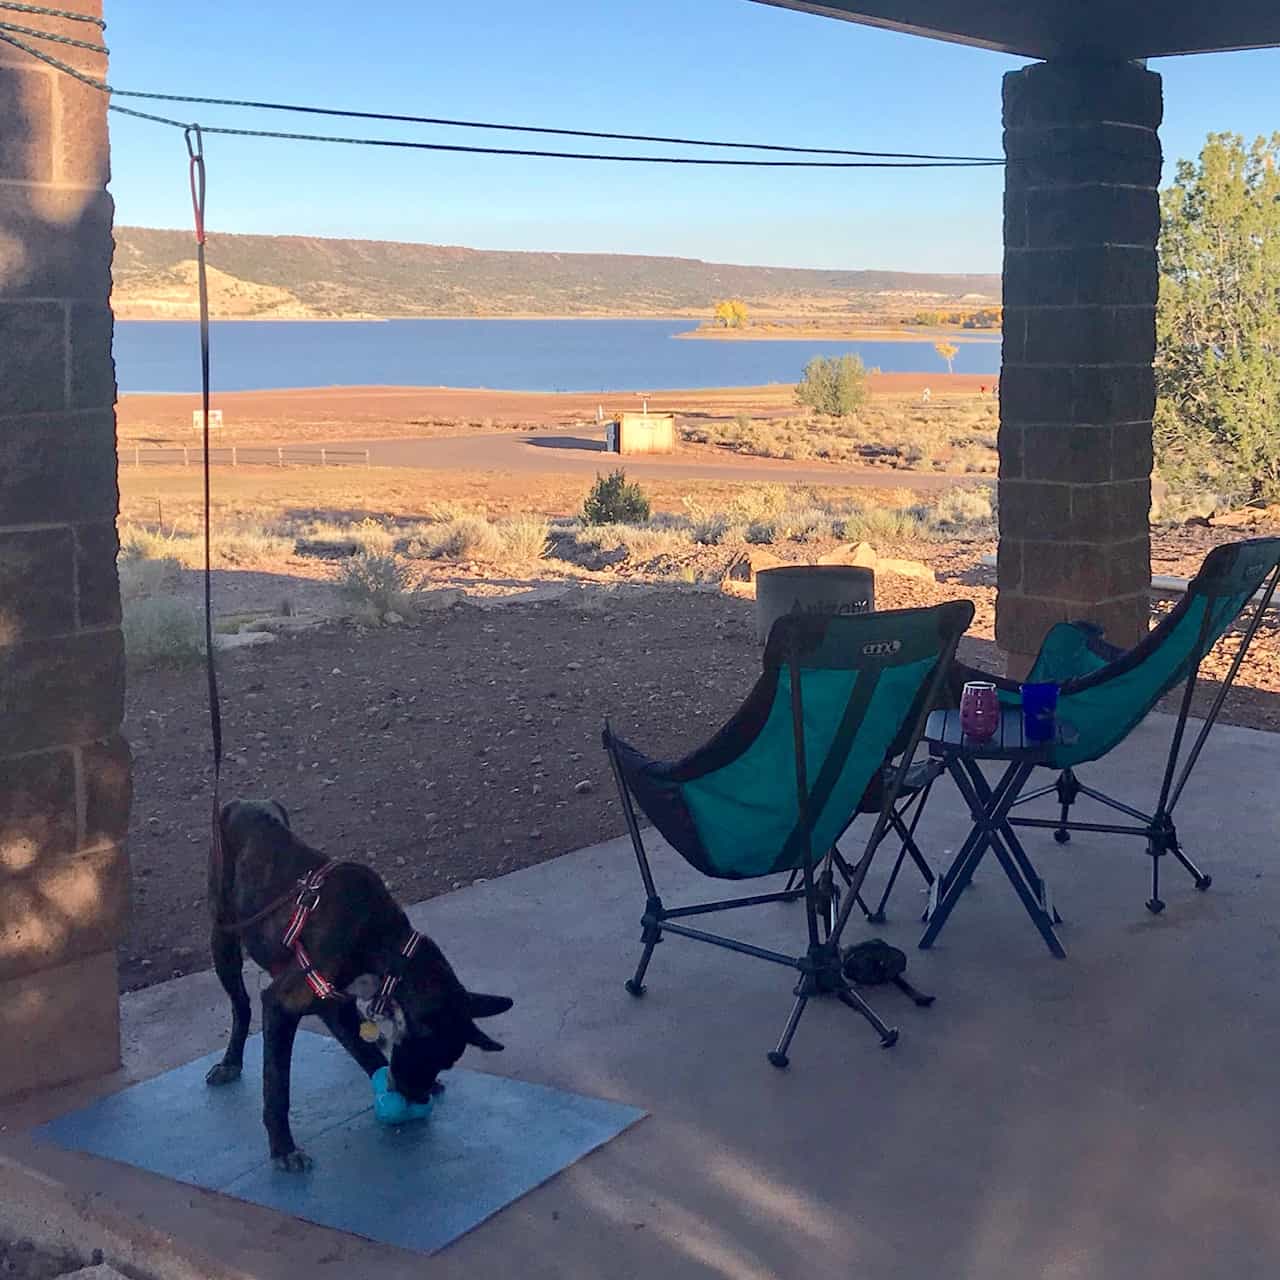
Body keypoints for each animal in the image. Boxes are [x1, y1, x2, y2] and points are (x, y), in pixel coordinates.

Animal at [207, 798, 512, 1172]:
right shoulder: (283, 1003)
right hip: (222, 936)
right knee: (241, 1006)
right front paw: (283, 1148)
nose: (418, 1097)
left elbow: (362, 1047)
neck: (386, 947)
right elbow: (277, 1084)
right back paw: (230, 1062)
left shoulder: (333, 1002)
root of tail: (244, 801)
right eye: (432, 1056)